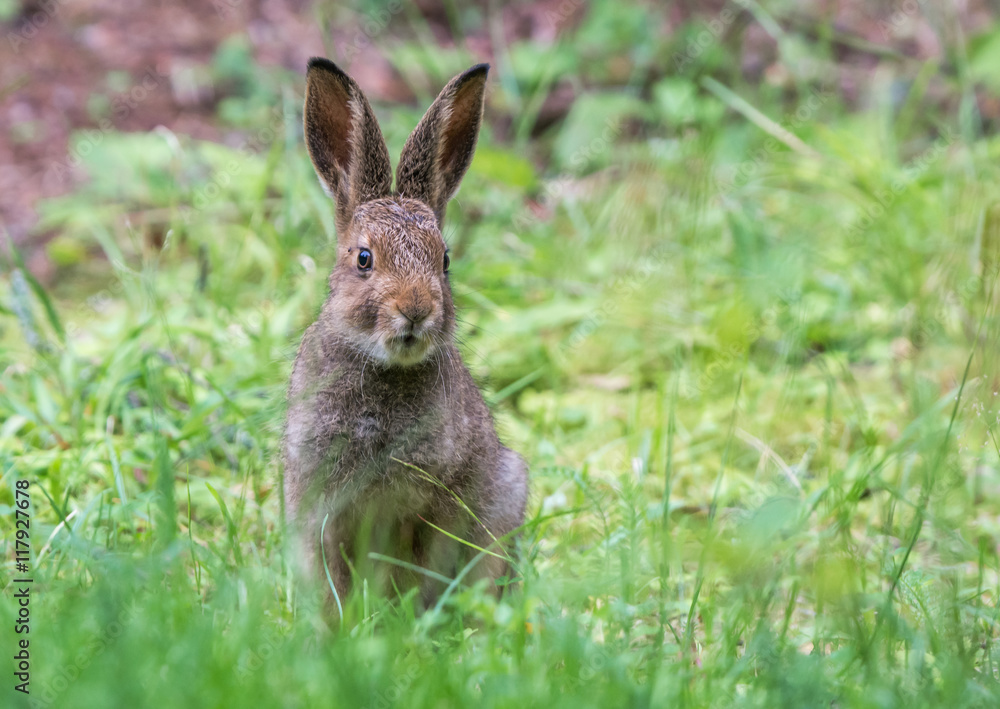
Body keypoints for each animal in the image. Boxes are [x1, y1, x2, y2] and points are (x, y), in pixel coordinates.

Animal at [283, 57, 528, 611]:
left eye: (445, 260)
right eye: (364, 258)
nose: (416, 309)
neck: (384, 369)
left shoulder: (425, 508)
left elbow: (410, 571)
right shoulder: (323, 507)